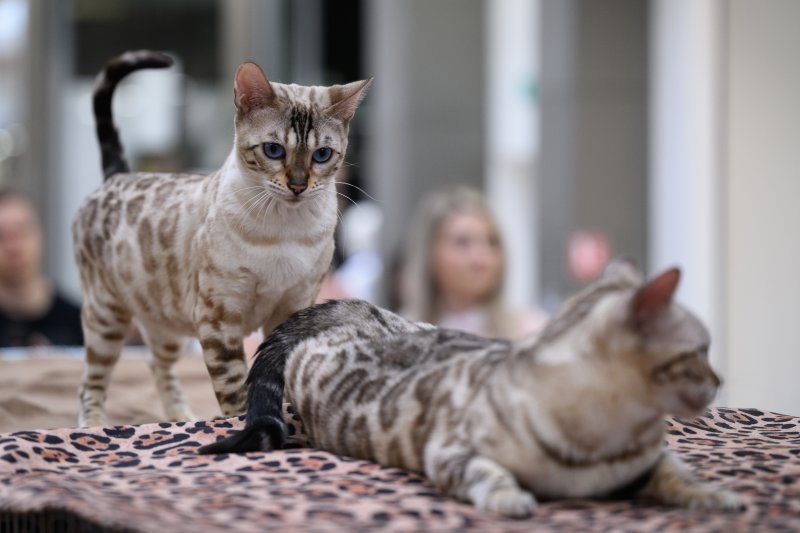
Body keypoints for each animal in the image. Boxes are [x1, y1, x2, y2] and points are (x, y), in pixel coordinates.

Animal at [72, 50, 372, 424]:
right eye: (274, 150)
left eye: (321, 155)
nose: (298, 186)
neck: (285, 229)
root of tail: (119, 175)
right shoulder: (219, 313)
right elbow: (234, 385)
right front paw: (243, 424)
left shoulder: (293, 307)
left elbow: (282, 372)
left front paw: (289, 415)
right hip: (106, 317)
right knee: (91, 382)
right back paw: (95, 424)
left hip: (164, 320)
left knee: (155, 362)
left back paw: (181, 416)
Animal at [202, 258, 744, 516]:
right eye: (701, 350)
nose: (721, 379)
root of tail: (354, 307)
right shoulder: (450, 453)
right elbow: (489, 475)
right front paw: (513, 498)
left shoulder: (650, 460)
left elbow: (678, 474)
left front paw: (716, 497)